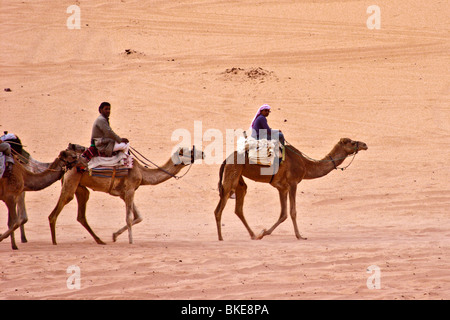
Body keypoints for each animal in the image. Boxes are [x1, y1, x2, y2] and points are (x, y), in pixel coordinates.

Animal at [48, 147, 204, 245]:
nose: (202, 153)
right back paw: (55, 242)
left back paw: (100, 241)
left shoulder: (125, 193)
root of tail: (66, 167)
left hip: (80, 187)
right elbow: (129, 218)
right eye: (190, 150)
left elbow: (139, 217)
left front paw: (114, 236)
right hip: (71, 181)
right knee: (55, 212)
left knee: (81, 213)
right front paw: (131, 242)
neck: (142, 173)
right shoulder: (130, 190)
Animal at [215, 138, 370, 240]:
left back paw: (254, 235)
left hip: (238, 178)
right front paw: (300, 236)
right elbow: (293, 212)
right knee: (220, 207)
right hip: (232, 173)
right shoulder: (293, 183)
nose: (364, 144)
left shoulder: (282, 187)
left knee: (238, 206)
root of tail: (226, 159)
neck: (305, 165)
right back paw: (221, 238)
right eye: (352, 142)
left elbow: (283, 214)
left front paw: (264, 232)